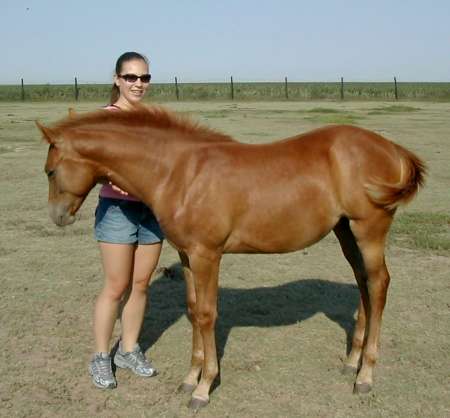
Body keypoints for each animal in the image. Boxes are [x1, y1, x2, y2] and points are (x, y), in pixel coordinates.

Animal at [37, 104, 426, 408]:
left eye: (50, 171)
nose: (58, 216)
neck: (179, 172)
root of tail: (392, 148)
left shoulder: (207, 255)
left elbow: (208, 315)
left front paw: (204, 388)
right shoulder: (187, 255)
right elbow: (194, 311)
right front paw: (190, 379)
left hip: (369, 229)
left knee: (379, 284)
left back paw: (366, 375)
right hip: (346, 231)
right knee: (363, 283)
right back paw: (351, 362)